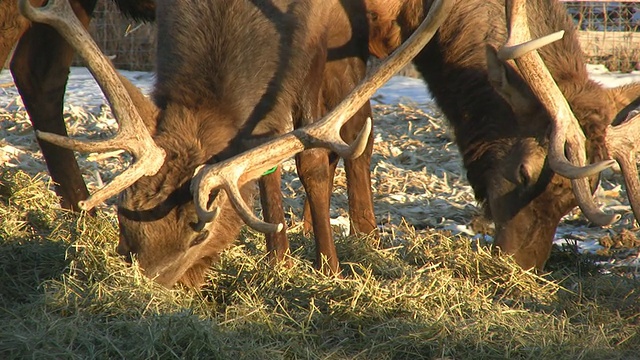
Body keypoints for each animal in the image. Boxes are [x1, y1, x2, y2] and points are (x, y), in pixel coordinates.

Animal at [18, 0, 450, 286]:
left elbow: (310, 158)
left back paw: (366, 237)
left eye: (200, 232)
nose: (145, 291)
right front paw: (278, 260)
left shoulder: (318, 39)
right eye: (123, 216)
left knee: (358, 129)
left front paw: (329, 269)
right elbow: (264, 163)